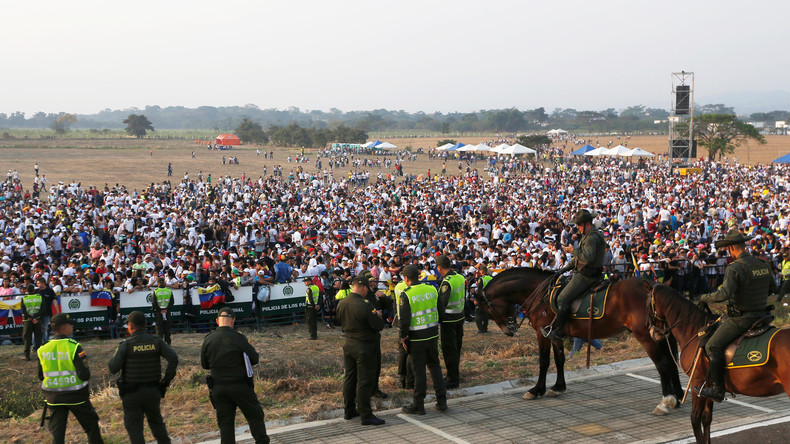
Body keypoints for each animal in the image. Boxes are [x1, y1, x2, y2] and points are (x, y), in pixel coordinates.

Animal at [476, 268, 688, 416]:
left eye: (488, 310)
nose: (509, 330)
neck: (540, 294)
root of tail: (654, 287)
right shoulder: (555, 334)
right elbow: (559, 359)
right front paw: (558, 387)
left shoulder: (542, 334)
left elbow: (544, 361)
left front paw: (537, 390)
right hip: (660, 334)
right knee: (671, 363)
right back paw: (677, 397)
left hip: (646, 336)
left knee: (663, 364)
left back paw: (666, 402)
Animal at [648, 284, 790, 444]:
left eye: (647, 303)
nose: (652, 332)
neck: (693, 331)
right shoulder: (708, 387)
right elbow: (706, 419)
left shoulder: (697, 382)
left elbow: (695, 420)